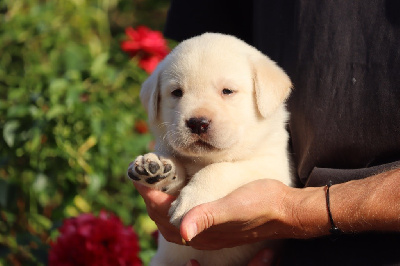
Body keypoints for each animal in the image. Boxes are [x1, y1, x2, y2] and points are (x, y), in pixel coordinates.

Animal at [129, 33, 294, 266]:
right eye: (176, 92)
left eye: (227, 91)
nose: (198, 123)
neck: (205, 159)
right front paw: (157, 167)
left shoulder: (273, 168)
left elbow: (222, 169)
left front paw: (191, 200)